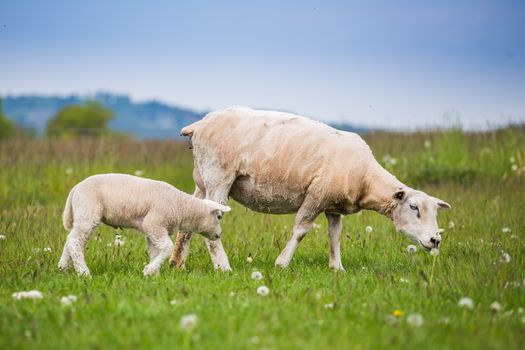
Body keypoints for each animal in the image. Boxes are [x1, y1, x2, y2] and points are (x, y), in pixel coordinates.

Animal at [57, 174, 229, 278]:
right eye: (219, 216)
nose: (219, 235)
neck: (181, 207)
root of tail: (75, 189)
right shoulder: (154, 223)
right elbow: (167, 247)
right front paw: (150, 270)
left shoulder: (152, 230)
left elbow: (155, 251)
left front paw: (154, 273)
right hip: (88, 213)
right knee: (75, 242)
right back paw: (84, 272)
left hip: (82, 215)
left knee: (70, 239)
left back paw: (63, 267)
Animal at [169, 106, 450, 270]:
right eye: (413, 208)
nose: (435, 240)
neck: (366, 177)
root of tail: (199, 125)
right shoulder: (317, 195)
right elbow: (301, 230)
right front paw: (281, 263)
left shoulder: (334, 205)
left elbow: (335, 236)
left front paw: (337, 268)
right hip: (219, 175)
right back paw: (223, 267)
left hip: (202, 179)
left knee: (192, 214)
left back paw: (177, 263)